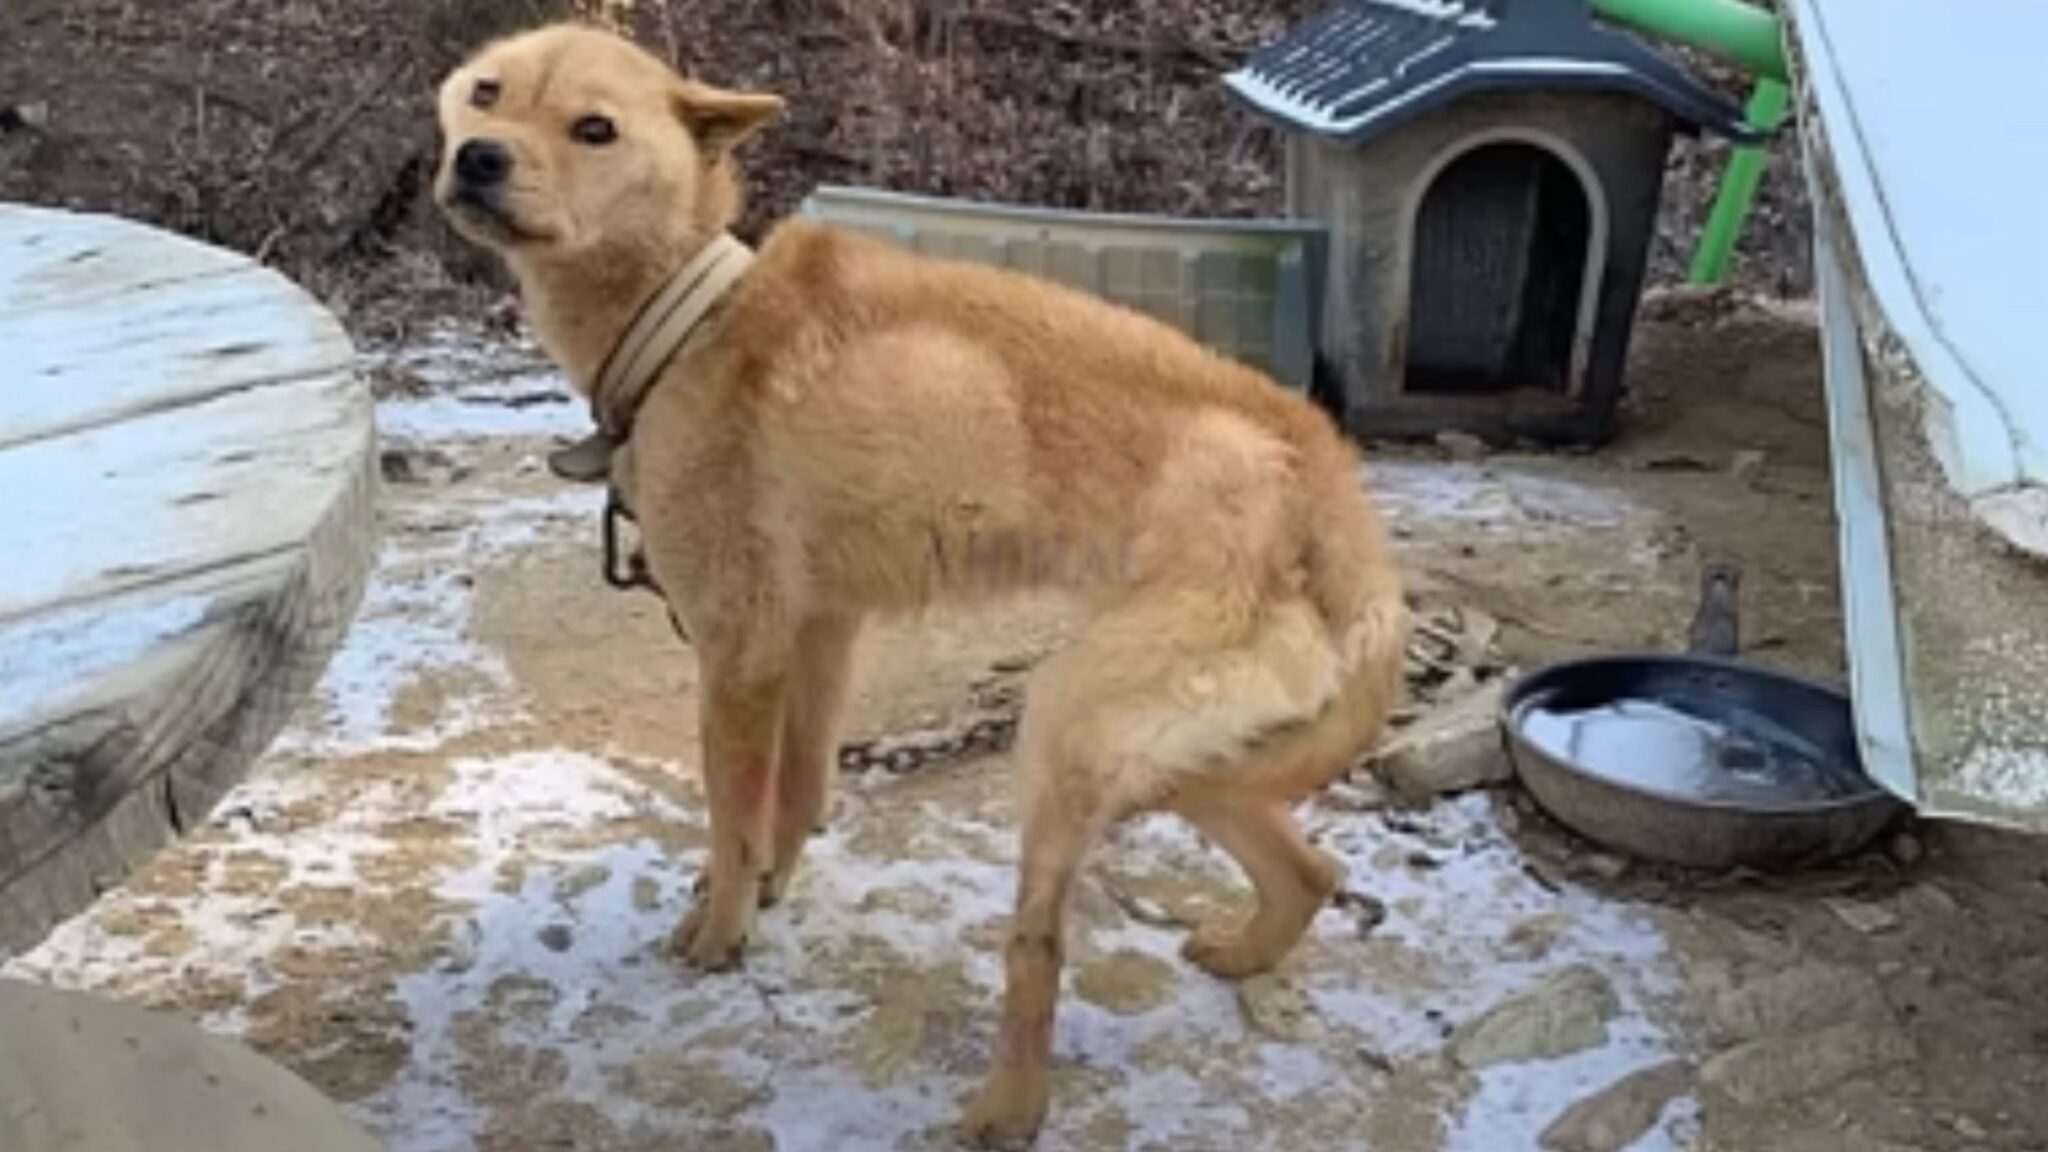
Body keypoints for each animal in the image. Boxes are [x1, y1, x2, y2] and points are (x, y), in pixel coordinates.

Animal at [436, 22, 1409, 1139]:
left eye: (594, 129)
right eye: (486, 94)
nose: (479, 158)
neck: (685, 317)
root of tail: (1322, 477)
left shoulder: (736, 651)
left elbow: (731, 815)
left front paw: (721, 932)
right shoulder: (819, 635)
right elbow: (797, 794)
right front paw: (768, 889)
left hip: (1063, 732)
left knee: (1040, 949)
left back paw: (1008, 1108)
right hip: (1182, 759)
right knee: (1310, 870)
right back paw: (1243, 952)